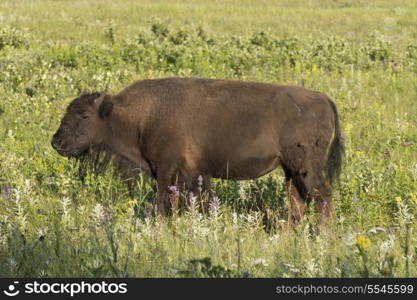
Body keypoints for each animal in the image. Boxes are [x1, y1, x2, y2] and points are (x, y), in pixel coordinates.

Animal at [52, 78, 342, 224]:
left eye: (85, 115)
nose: (57, 142)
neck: (140, 115)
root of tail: (325, 99)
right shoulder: (188, 173)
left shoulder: (166, 168)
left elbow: (163, 201)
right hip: (290, 169)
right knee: (298, 200)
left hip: (306, 167)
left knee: (321, 195)